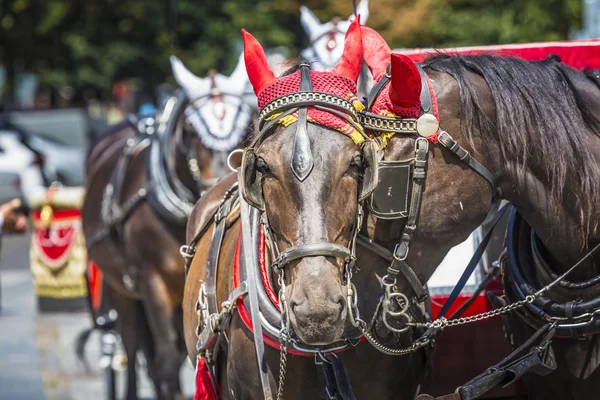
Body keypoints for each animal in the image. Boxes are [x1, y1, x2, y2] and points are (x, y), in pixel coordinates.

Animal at [82, 57, 253, 400]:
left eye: (245, 128)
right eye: (189, 130)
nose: (217, 187)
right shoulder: (153, 284)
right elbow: (165, 359)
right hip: (121, 286)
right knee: (133, 343)